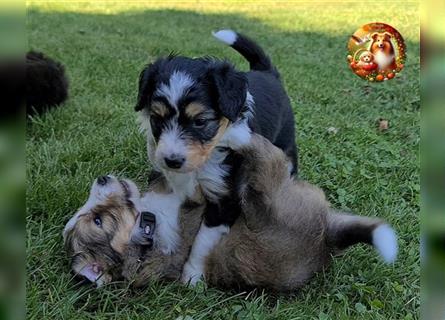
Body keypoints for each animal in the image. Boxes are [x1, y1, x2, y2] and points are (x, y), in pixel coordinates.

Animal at [62, 134, 396, 292]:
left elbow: (166, 176)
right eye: (97, 220)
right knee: (268, 157)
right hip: (267, 195)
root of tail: (325, 239)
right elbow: (189, 187)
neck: (146, 229)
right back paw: (240, 136)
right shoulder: (190, 209)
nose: (101, 178)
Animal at [134, 30, 296, 284]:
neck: (202, 162)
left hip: (287, 144)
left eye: (200, 121)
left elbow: (203, 241)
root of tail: (266, 72)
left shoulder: (225, 198)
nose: (172, 160)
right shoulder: (164, 175)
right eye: (156, 118)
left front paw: (192, 276)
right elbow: (159, 205)